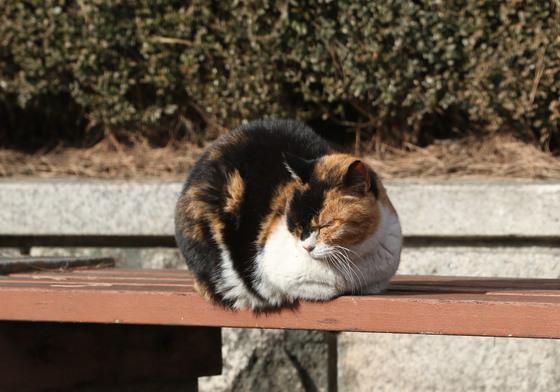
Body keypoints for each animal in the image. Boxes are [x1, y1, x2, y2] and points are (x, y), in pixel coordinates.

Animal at [175, 118, 402, 310]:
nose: (307, 247)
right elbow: (322, 286)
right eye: (296, 224)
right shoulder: (272, 269)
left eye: (325, 225)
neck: (356, 257)